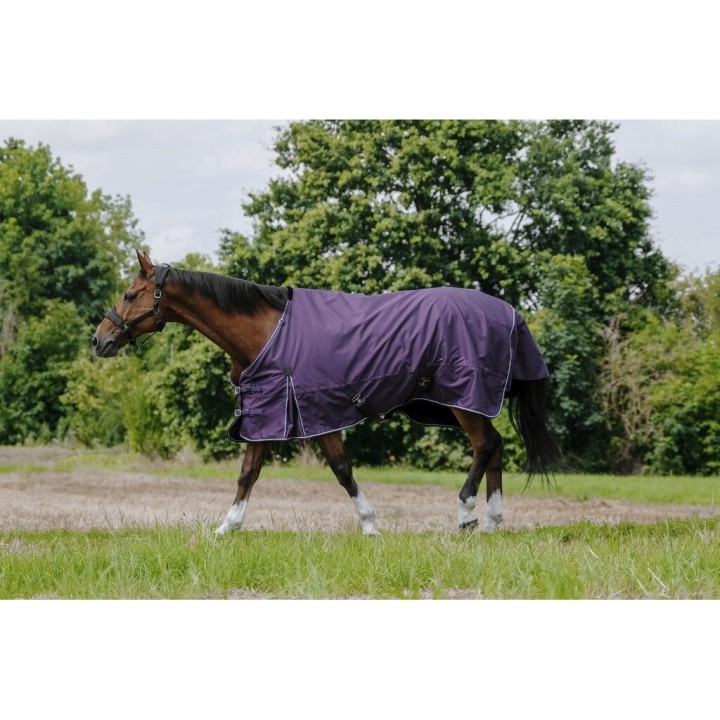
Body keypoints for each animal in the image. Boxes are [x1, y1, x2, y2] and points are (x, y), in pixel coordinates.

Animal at [92, 251, 561, 535]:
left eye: (130, 294)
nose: (99, 340)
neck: (266, 331)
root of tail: (509, 312)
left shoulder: (305, 409)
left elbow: (333, 471)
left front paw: (370, 526)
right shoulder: (278, 413)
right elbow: (258, 473)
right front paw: (227, 528)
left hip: (464, 399)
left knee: (485, 446)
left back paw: (466, 514)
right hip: (468, 402)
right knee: (496, 446)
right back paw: (493, 522)